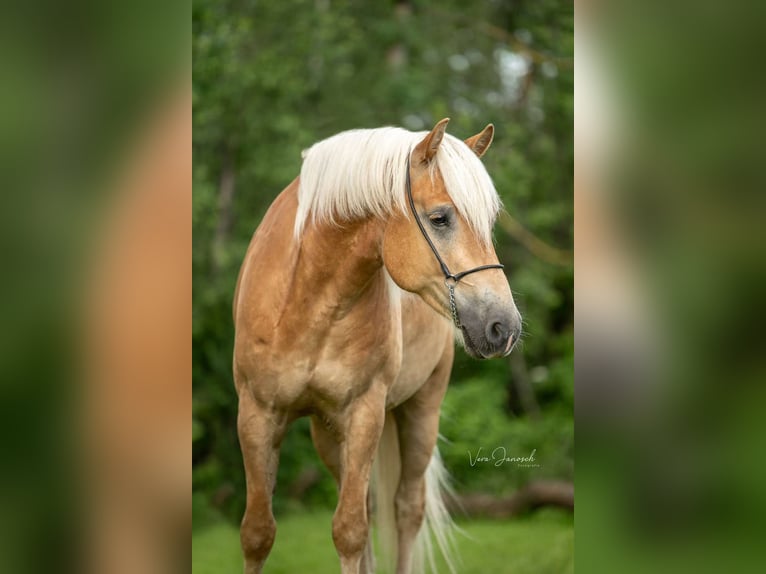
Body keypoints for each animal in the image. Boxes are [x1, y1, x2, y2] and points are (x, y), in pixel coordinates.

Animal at [232, 118, 520, 574]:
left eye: (489, 221)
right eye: (440, 218)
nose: (504, 327)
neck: (307, 301)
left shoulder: (364, 413)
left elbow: (349, 530)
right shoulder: (256, 414)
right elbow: (258, 532)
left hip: (421, 412)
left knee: (406, 509)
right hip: (327, 433)